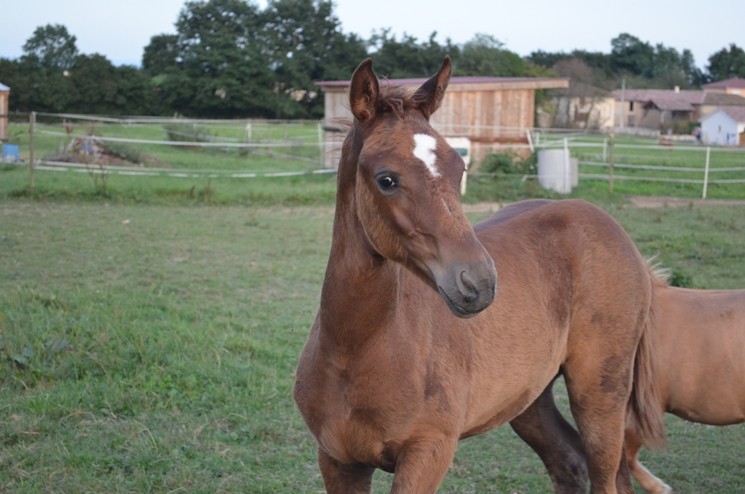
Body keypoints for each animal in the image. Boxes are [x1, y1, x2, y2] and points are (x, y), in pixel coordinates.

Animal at [290, 58, 664, 494]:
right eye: (386, 179)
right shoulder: (337, 461)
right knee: (570, 462)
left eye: (460, 167)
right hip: (529, 398)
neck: (356, 353)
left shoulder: (427, 453)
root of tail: (622, 239)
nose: (479, 283)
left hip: (600, 391)